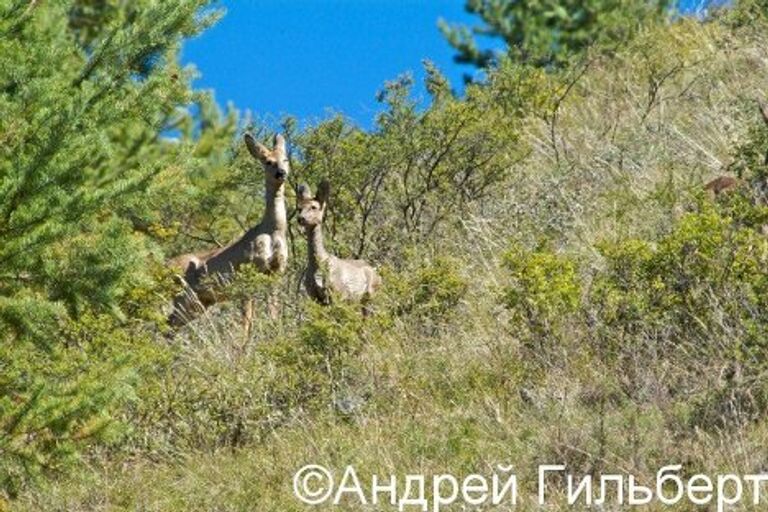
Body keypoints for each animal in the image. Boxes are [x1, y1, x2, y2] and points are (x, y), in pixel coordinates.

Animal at [166, 132, 290, 330]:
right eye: (268, 161)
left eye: (285, 159)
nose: (281, 173)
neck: (272, 231)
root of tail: (164, 265)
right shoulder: (249, 271)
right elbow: (247, 320)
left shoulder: (277, 271)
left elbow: (273, 311)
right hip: (184, 296)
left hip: (200, 302)